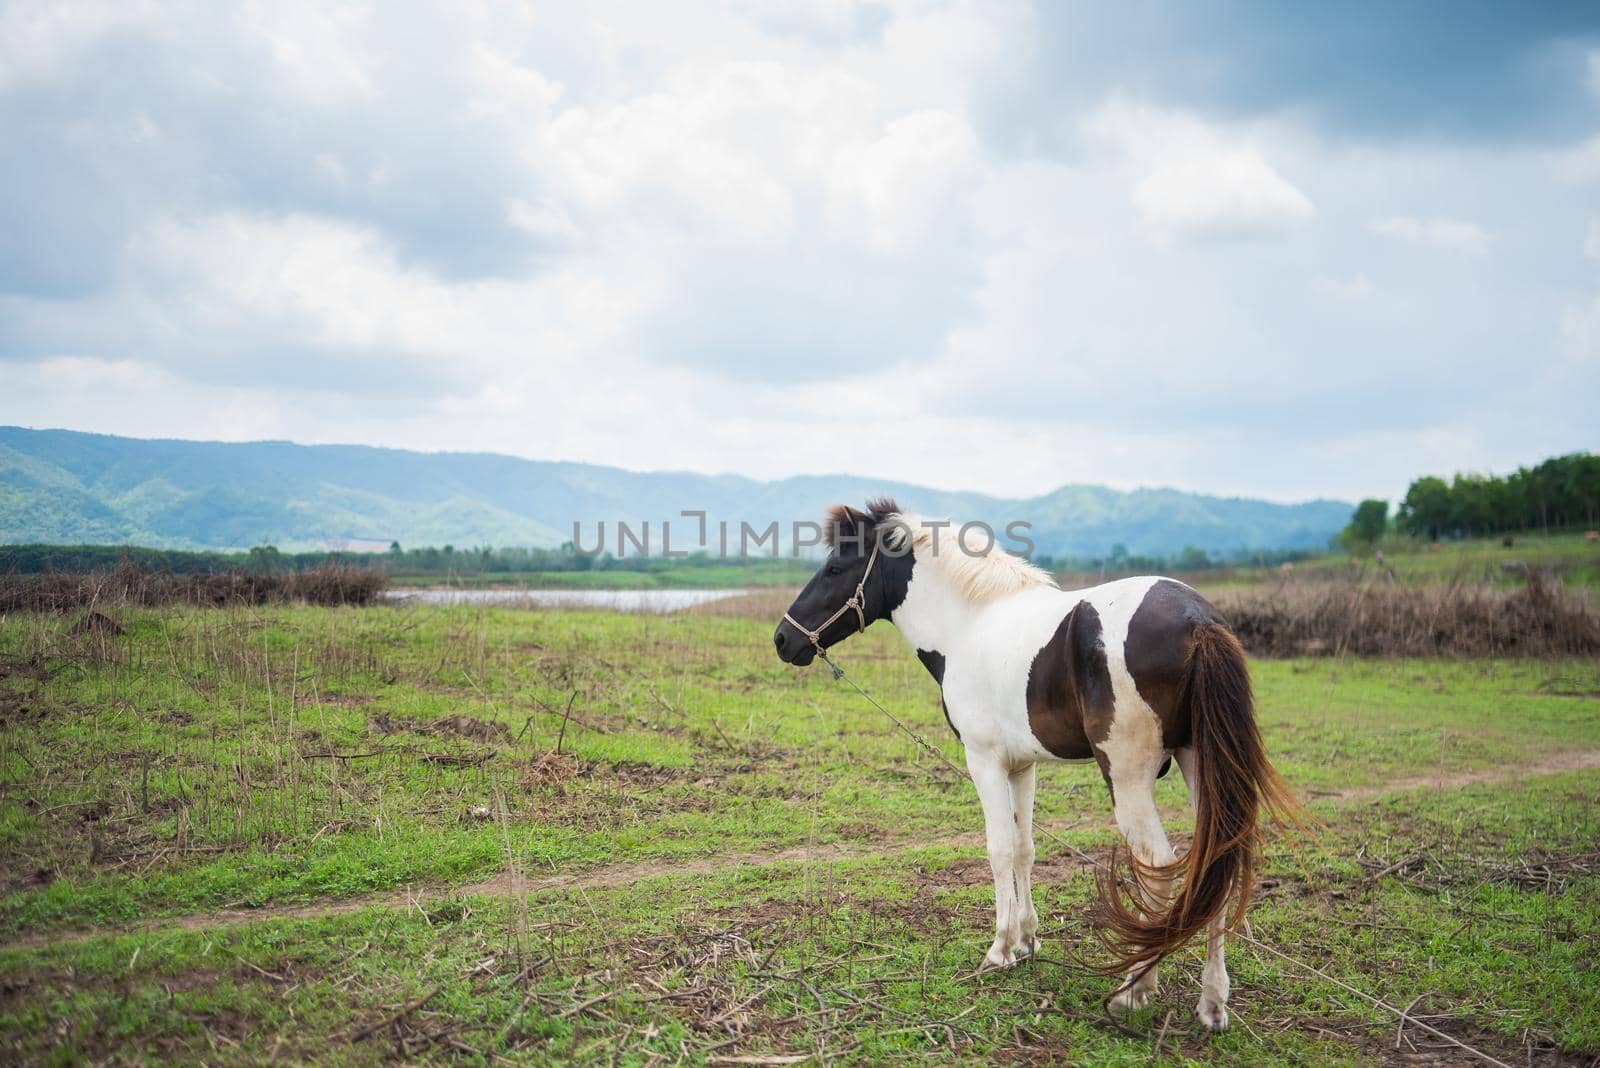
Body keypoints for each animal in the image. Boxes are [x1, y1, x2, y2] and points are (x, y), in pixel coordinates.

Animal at [774, 495, 1299, 1029]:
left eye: (835, 567)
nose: (783, 640)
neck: (970, 625)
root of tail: (1198, 621)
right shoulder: (1022, 766)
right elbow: (1025, 849)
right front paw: (1027, 941)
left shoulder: (984, 762)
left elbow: (1000, 850)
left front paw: (1000, 950)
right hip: (1201, 765)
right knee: (1216, 858)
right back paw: (1212, 1004)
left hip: (1128, 778)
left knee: (1156, 866)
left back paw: (1132, 991)